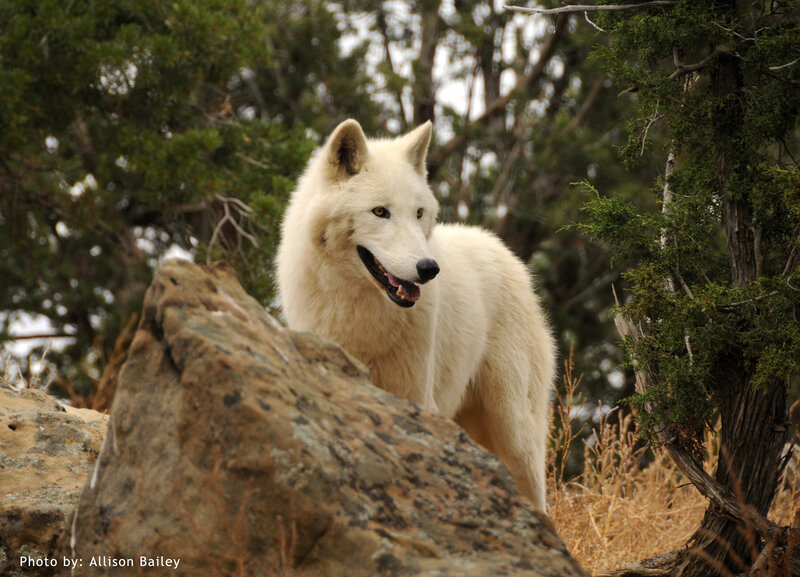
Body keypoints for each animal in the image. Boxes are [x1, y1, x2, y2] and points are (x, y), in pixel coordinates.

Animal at [276, 119, 556, 510]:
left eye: (419, 213)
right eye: (380, 212)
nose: (429, 268)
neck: (361, 313)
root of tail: (504, 250)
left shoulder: (414, 396)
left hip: (515, 431)